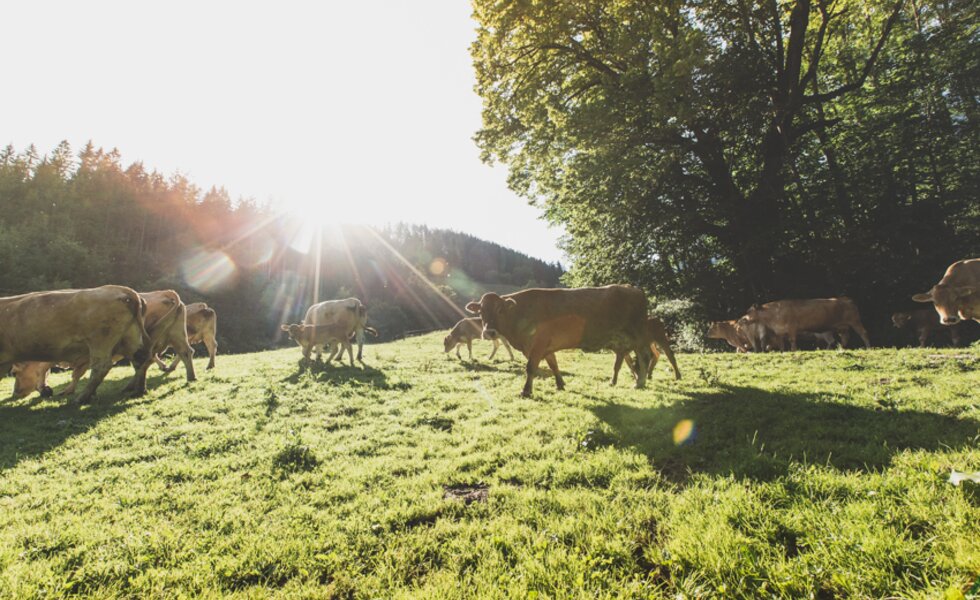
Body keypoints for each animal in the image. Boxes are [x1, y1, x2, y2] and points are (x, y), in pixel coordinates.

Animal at [0, 284, 149, 404]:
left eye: (14, 373)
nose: (15, 392)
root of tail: (123, 290)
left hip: (100, 342)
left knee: (101, 367)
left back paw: (82, 398)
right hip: (130, 338)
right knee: (139, 359)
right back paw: (139, 390)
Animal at [466, 286, 656, 398]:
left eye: (500, 310)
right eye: (481, 311)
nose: (489, 332)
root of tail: (633, 288)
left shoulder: (538, 344)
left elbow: (531, 368)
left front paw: (526, 391)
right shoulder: (546, 347)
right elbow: (554, 364)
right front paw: (560, 384)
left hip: (638, 334)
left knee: (645, 356)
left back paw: (639, 382)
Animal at [740, 296, 868, 350]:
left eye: (748, 311)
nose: (742, 319)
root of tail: (847, 299)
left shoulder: (792, 328)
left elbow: (792, 341)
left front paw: (793, 350)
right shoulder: (779, 332)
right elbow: (781, 344)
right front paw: (783, 351)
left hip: (855, 321)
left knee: (863, 333)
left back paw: (868, 347)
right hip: (842, 327)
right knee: (845, 338)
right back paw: (840, 348)